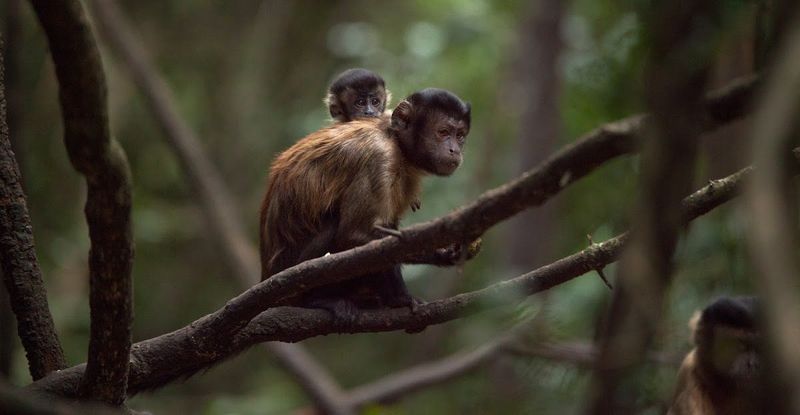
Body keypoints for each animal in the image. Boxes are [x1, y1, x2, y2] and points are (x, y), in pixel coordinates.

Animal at [260, 88, 471, 324]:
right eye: (443, 132)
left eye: (460, 136)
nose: (454, 150)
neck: (394, 139)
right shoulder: (379, 158)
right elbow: (355, 235)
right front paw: (402, 296)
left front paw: (442, 252)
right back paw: (319, 300)